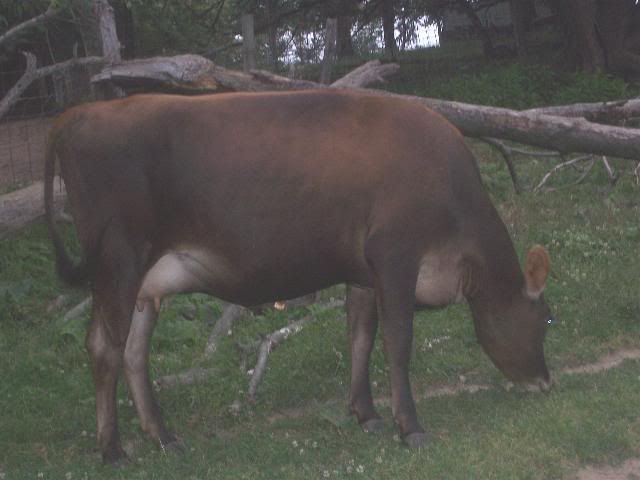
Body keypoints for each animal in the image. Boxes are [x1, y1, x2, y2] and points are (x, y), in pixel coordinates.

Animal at [44, 90, 553, 464]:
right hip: (118, 259)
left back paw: (162, 437)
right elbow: (398, 341)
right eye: (547, 318)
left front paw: (366, 414)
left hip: (145, 280)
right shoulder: (395, 256)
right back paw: (113, 451)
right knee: (105, 347)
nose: (546, 381)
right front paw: (410, 428)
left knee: (134, 349)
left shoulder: (362, 271)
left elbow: (360, 336)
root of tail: (77, 113)